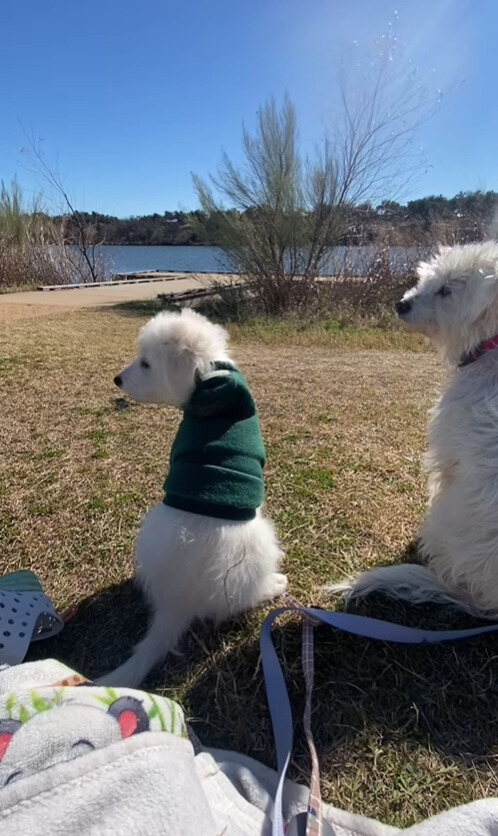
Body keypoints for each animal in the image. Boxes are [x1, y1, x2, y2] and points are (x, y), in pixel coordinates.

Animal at [99, 308, 286, 684]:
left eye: (146, 363)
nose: (116, 380)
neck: (209, 380)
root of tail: (177, 601)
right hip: (260, 544)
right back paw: (275, 584)